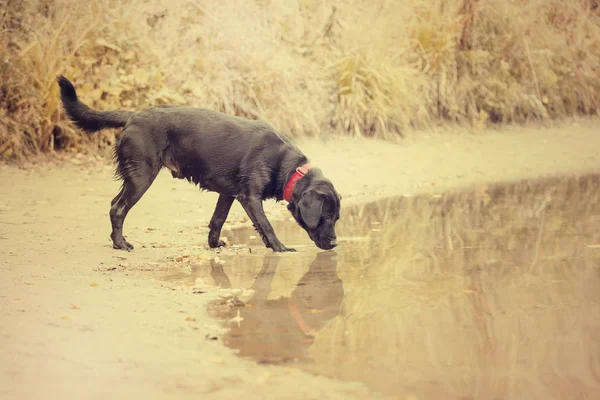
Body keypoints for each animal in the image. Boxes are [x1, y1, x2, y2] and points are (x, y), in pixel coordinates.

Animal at [58, 75, 340, 253]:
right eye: (326, 217)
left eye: (337, 218)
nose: (336, 244)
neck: (288, 166)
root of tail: (134, 116)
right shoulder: (250, 197)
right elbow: (266, 225)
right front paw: (280, 247)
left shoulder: (229, 194)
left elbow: (217, 220)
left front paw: (214, 244)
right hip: (142, 176)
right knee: (118, 209)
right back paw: (121, 244)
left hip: (135, 175)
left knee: (115, 205)